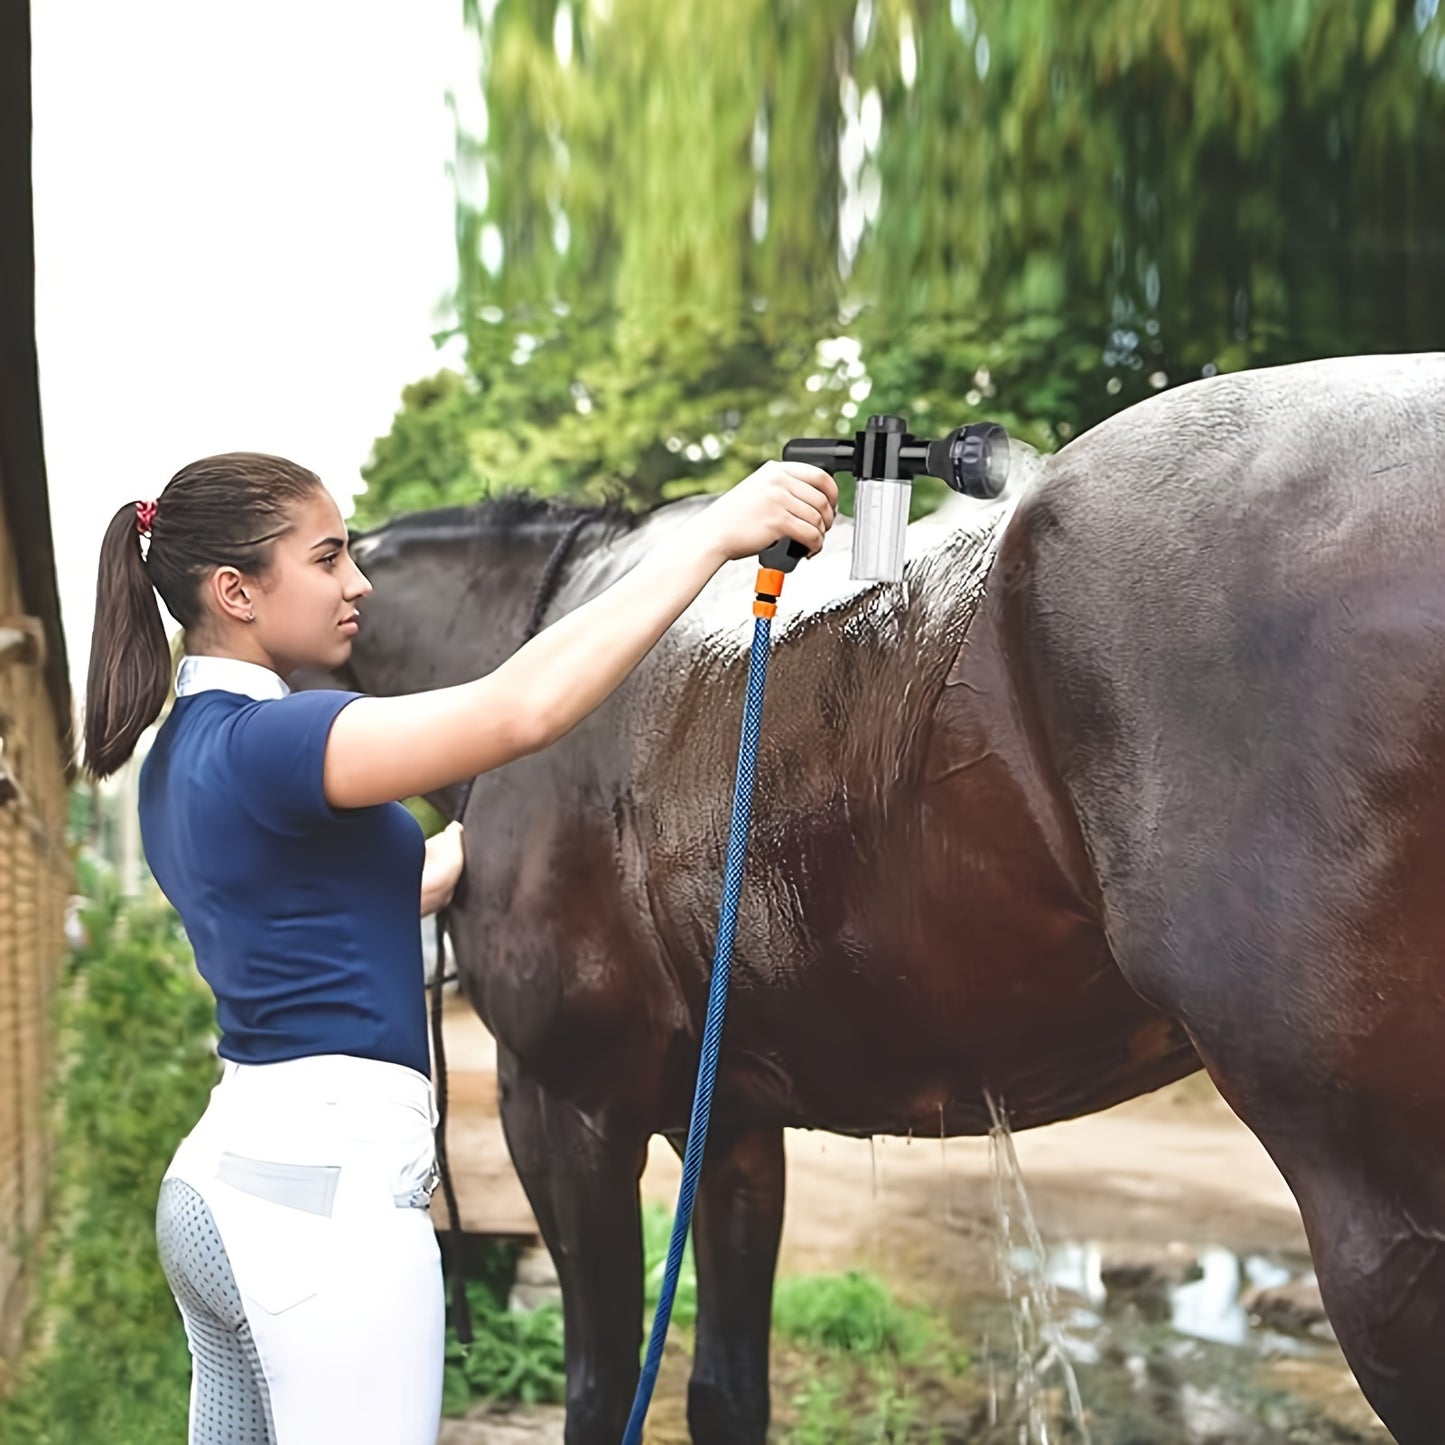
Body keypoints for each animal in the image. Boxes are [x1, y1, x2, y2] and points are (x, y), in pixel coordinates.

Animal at [334, 353, 1445, 1444]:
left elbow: (601, 1392)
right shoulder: (727, 1123)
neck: (544, 637)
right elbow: (724, 1392)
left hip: (1373, 1200)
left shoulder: (564, 1105)